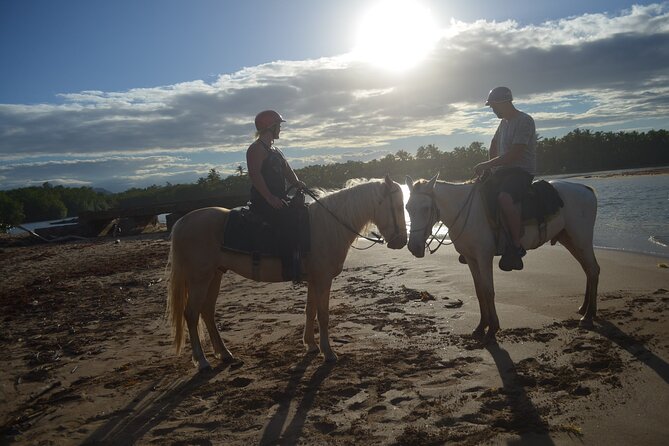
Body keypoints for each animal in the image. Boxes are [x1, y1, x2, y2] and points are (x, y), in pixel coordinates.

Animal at [167, 176, 408, 372]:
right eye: (398, 206)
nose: (401, 242)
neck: (328, 225)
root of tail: (182, 222)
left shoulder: (314, 279)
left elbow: (310, 311)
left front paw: (310, 345)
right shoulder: (323, 279)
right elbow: (323, 315)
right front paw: (328, 353)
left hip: (214, 275)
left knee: (207, 312)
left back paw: (224, 353)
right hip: (200, 278)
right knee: (191, 314)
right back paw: (202, 361)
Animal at [404, 174, 604, 342]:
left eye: (426, 208)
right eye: (407, 208)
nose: (413, 247)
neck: (466, 212)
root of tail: (586, 188)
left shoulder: (484, 256)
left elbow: (488, 291)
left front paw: (492, 329)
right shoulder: (471, 258)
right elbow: (479, 291)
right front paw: (480, 327)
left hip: (581, 238)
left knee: (593, 269)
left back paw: (588, 316)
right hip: (569, 239)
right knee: (588, 269)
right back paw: (585, 309)